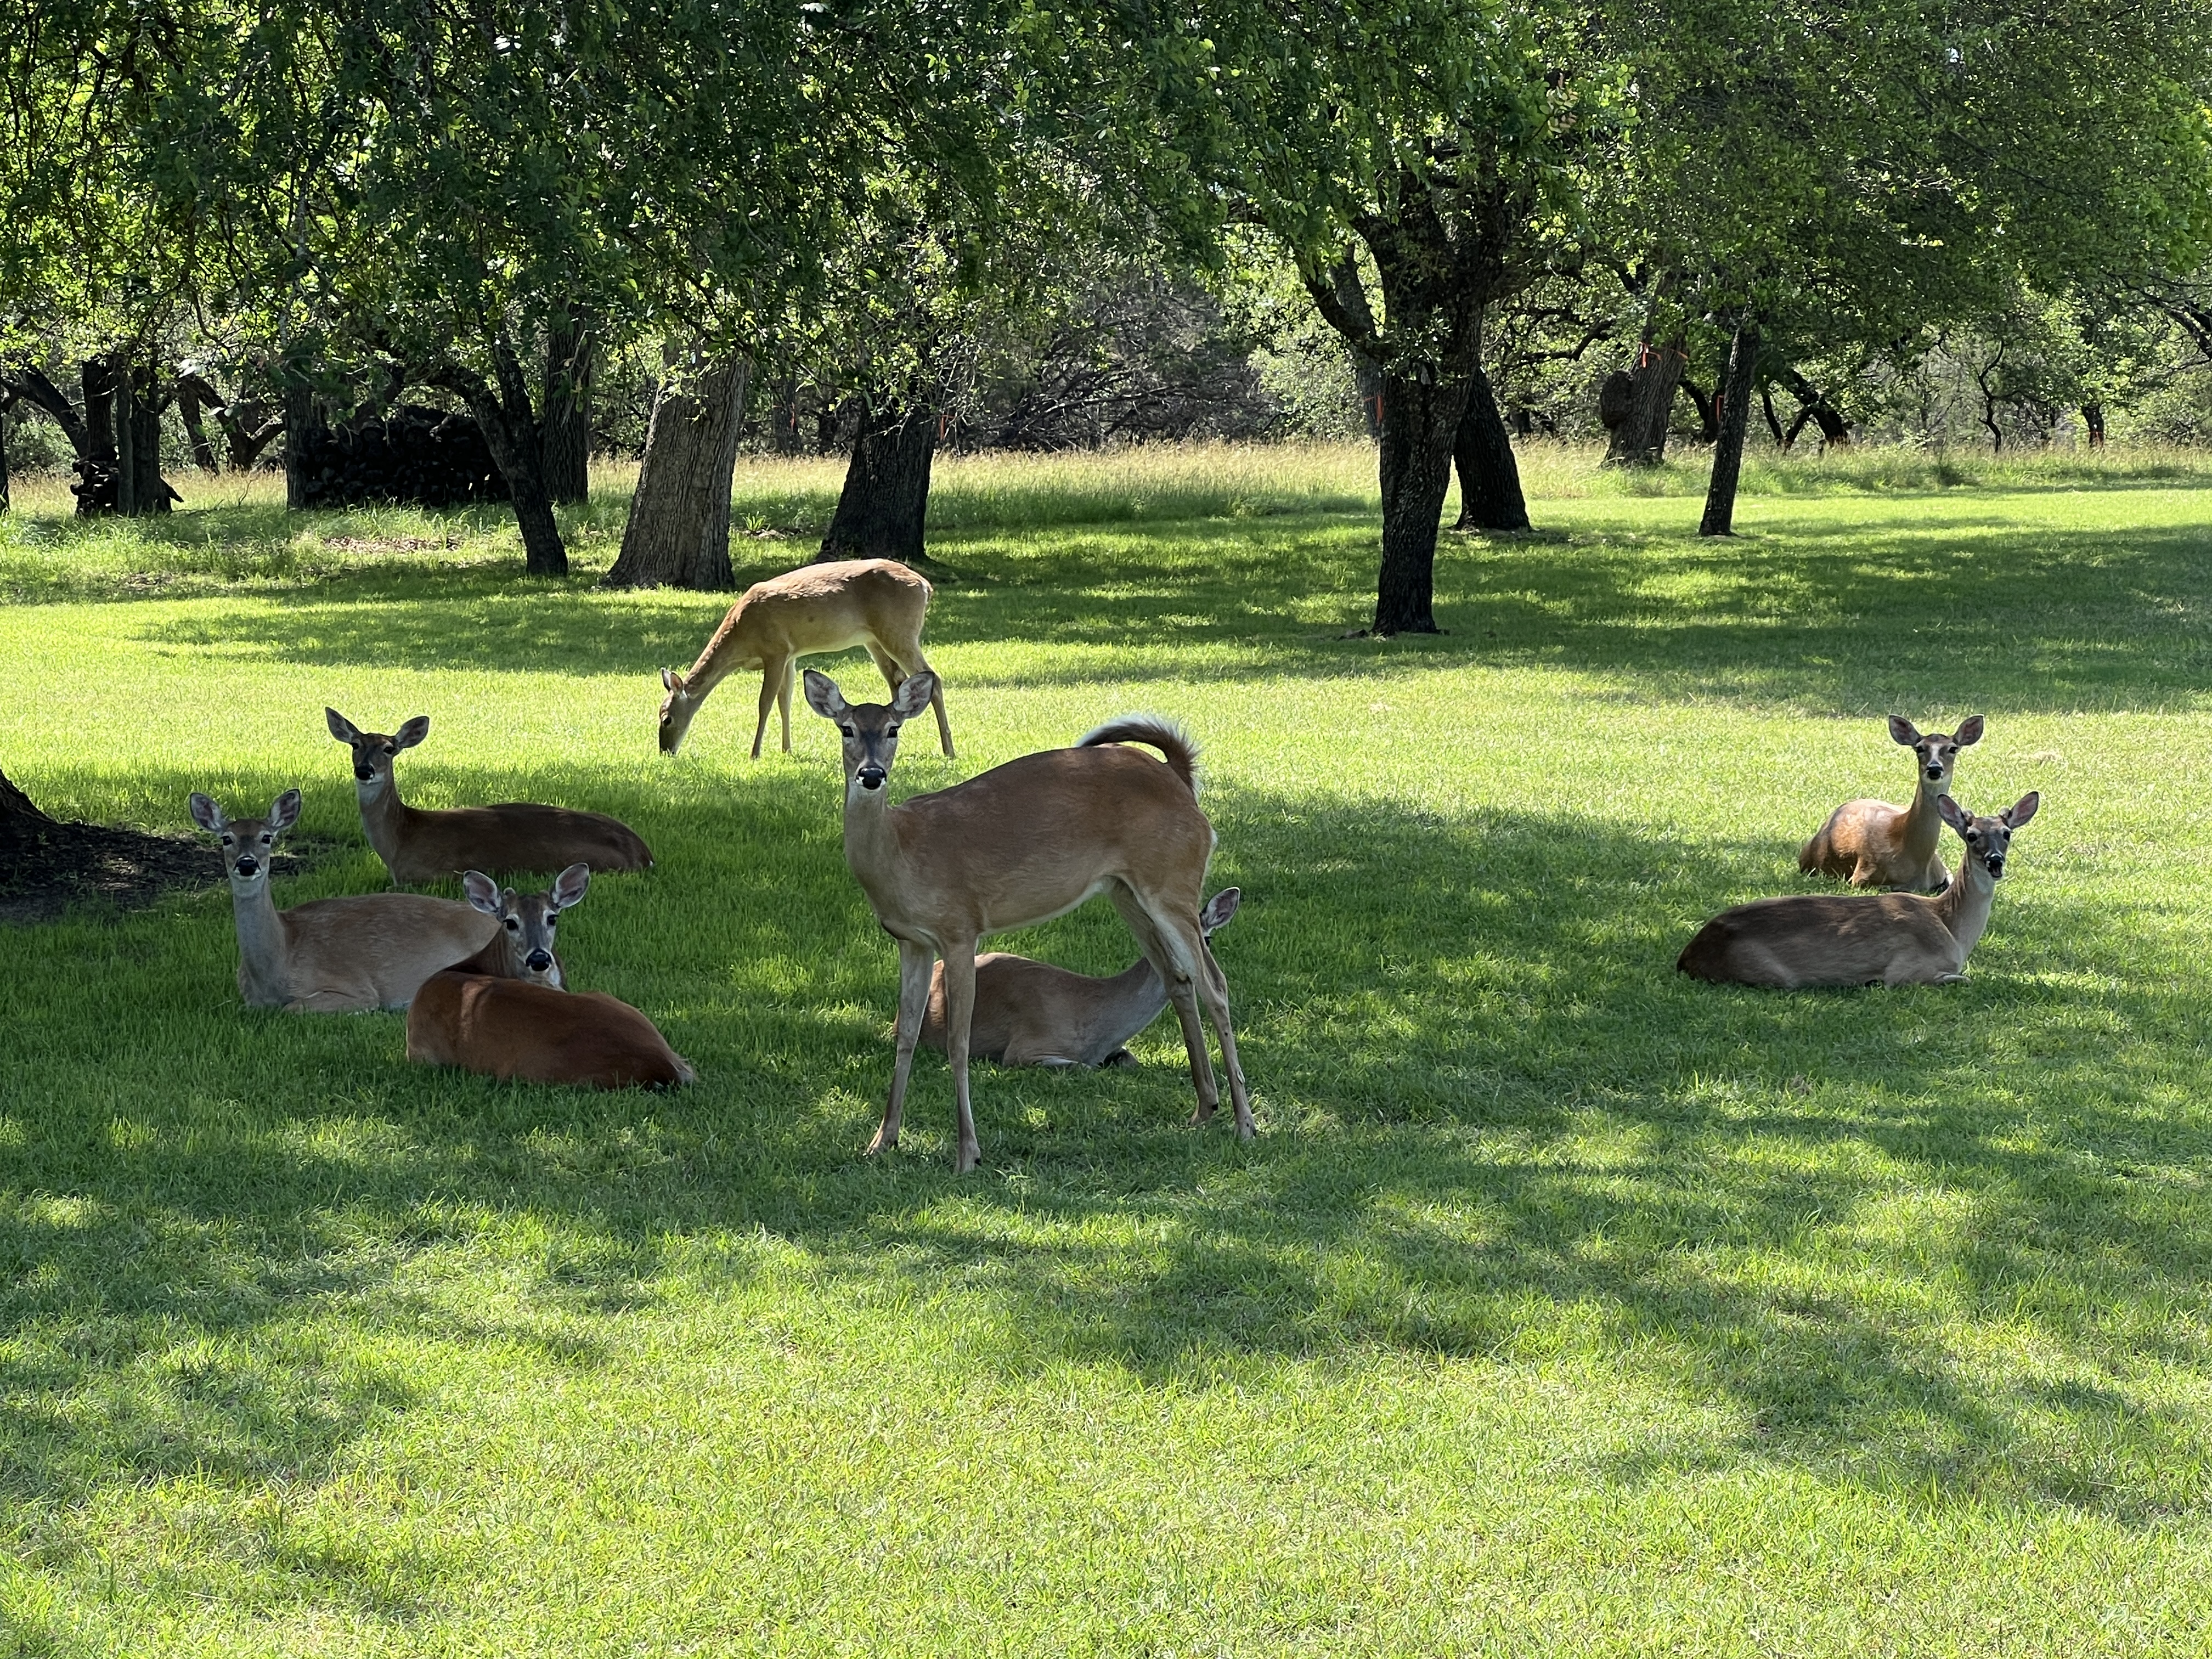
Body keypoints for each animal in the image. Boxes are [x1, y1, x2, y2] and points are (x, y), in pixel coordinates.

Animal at [326, 708, 653, 885]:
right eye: (355, 744)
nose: (364, 770)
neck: (400, 840)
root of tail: (644, 854)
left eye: (389, 748)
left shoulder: (436, 874)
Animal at [657, 557, 953, 760]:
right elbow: (785, 701)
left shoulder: (775, 650)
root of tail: (926, 587)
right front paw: (787, 751)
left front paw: (755, 753)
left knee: (934, 679)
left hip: (899, 631)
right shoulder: (790, 655)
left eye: (666, 719)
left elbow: (765, 703)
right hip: (875, 639)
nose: (665, 751)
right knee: (897, 681)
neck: (742, 639)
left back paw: (949, 750)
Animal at [921, 889, 1242, 1068]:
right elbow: (1084, 1067)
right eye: (1162, 939)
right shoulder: (1025, 1047)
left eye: (1208, 940)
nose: (1188, 971)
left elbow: (1129, 1060)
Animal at [1682, 792, 2038, 988]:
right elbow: (1962, 978)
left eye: (2006, 833)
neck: (1952, 929)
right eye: (1972, 835)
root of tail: (1689, 955)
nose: (1995, 861)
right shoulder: (1907, 969)